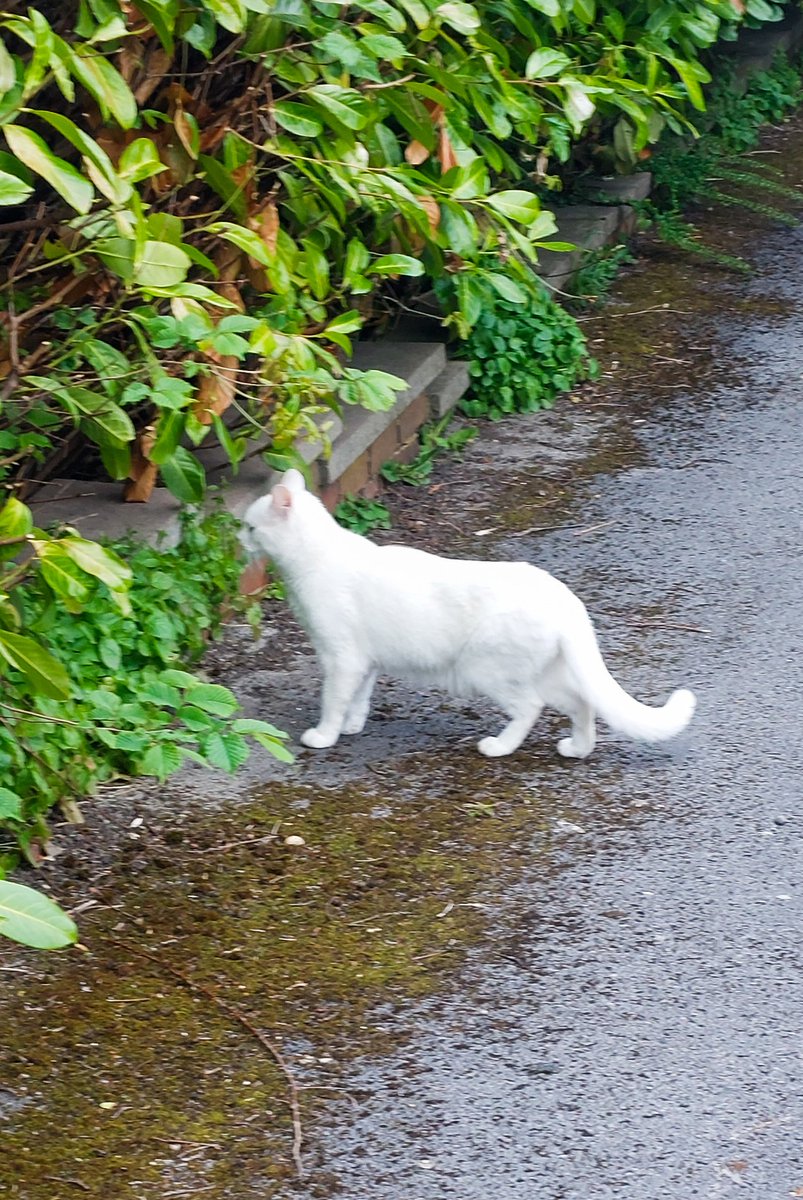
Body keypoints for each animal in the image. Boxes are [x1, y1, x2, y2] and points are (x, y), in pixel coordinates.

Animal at [240, 468, 696, 758]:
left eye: (250, 527)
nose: (237, 535)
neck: (312, 559)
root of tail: (566, 598)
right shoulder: (364, 661)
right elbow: (358, 698)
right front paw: (352, 725)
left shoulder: (342, 658)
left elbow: (333, 699)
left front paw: (325, 735)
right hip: (541, 670)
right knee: (581, 702)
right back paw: (577, 749)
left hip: (487, 669)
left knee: (530, 707)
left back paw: (499, 747)